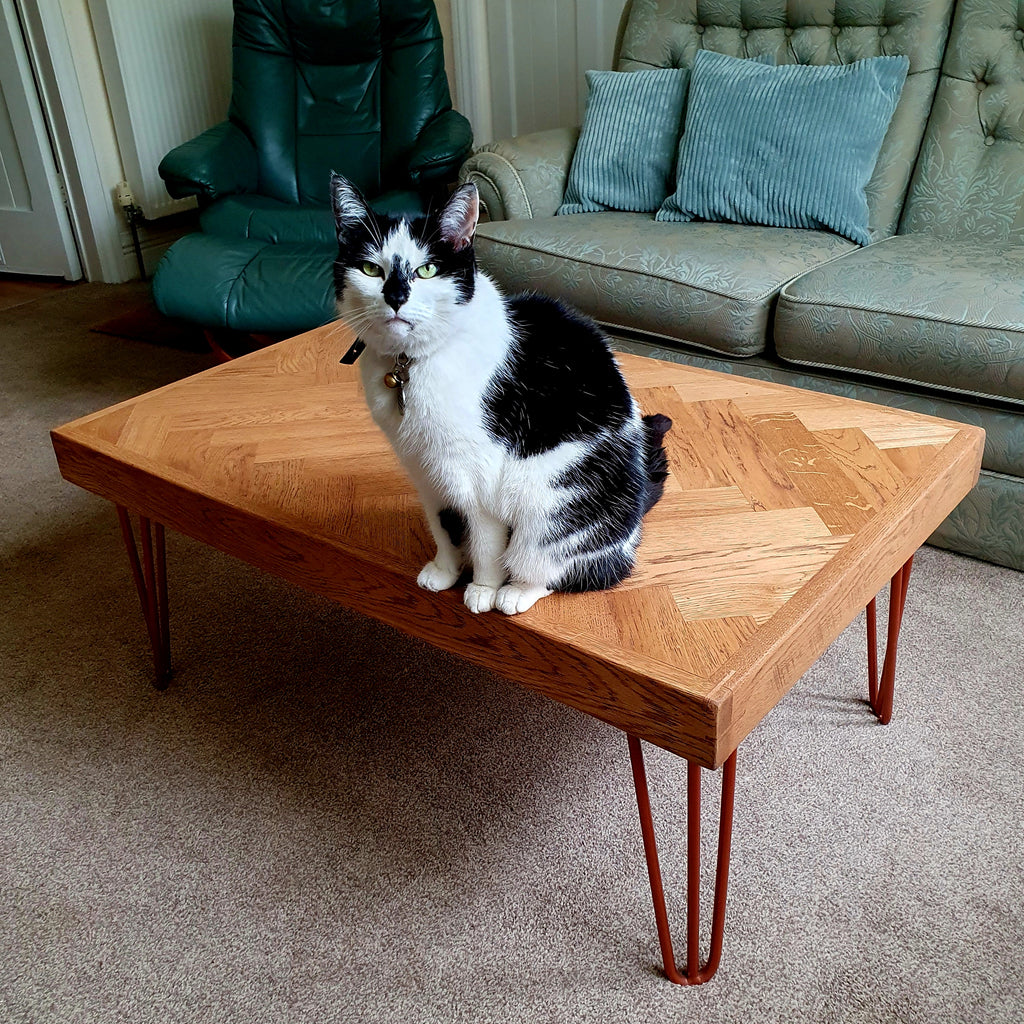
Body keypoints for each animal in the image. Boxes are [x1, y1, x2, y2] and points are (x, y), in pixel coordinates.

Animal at [329, 176, 671, 614]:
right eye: (371, 269)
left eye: (427, 270)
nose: (395, 296)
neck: (410, 366)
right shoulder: (425, 470)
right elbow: (444, 525)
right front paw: (445, 571)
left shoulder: (478, 476)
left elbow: (486, 541)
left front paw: (483, 589)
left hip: (549, 507)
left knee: (568, 567)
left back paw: (516, 591)